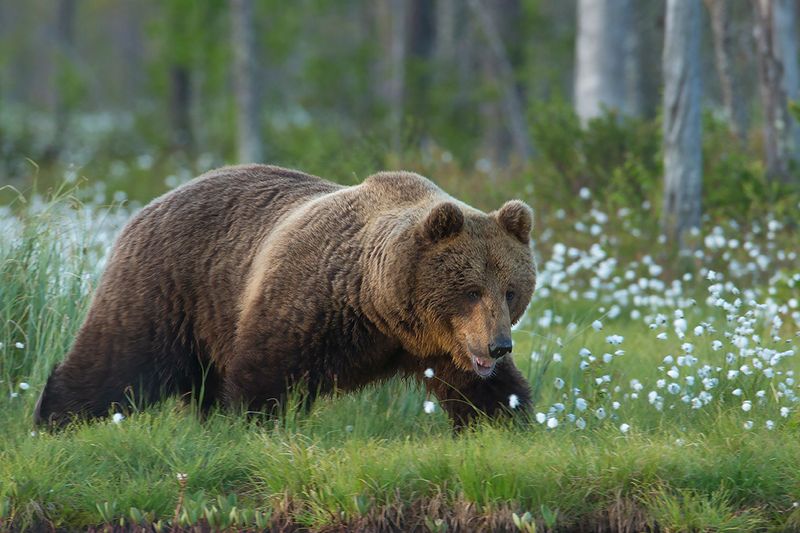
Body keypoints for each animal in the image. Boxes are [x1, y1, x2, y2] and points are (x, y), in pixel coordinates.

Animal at [36, 164, 536, 426]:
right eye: (470, 290)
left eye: (511, 291)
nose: (499, 345)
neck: (380, 307)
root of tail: (146, 205)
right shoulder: (313, 303)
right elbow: (267, 374)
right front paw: (249, 424)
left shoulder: (442, 346)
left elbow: (485, 391)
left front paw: (509, 423)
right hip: (167, 290)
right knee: (118, 361)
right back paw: (55, 418)